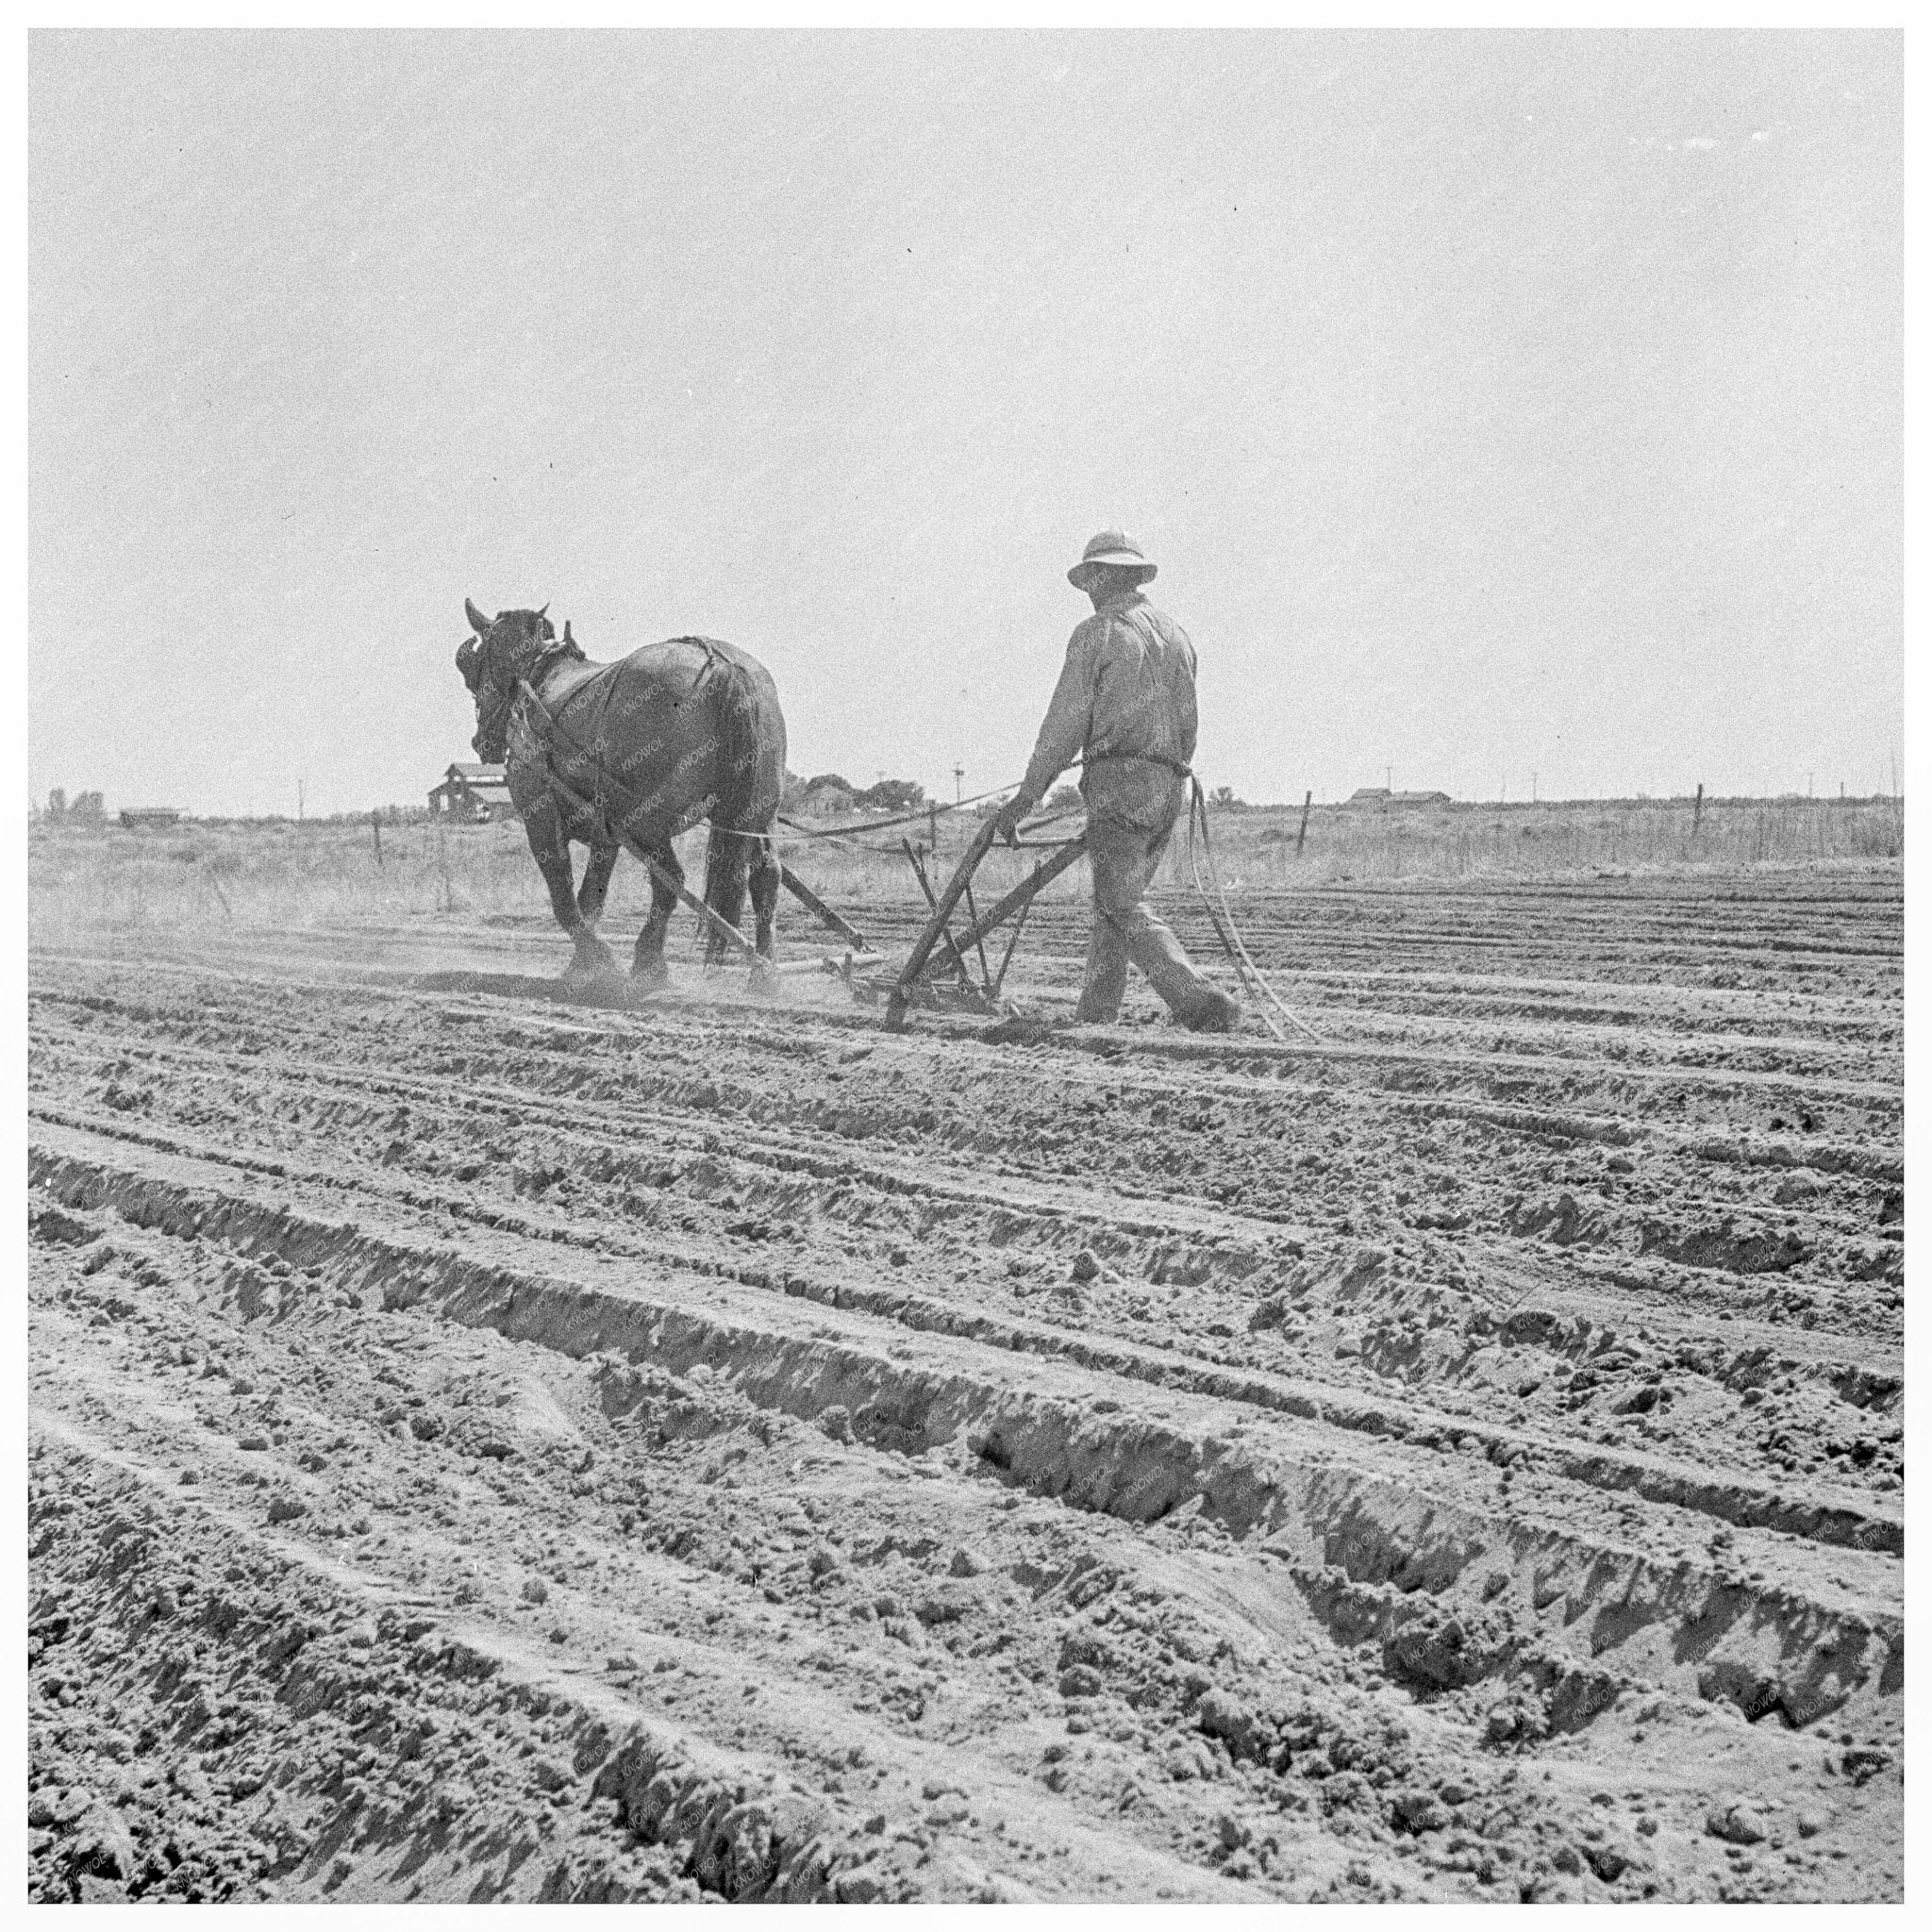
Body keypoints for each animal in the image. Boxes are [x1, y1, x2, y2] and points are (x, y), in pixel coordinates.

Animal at [458, 594, 784, 989]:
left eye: (474, 664)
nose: (482, 742)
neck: (535, 683)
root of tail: (723, 665)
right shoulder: (606, 832)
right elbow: (591, 898)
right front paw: (583, 966)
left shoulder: (540, 816)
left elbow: (564, 898)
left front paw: (597, 959)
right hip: (754, 814)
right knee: (765, 877)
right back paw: (763, 974)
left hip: (647, 820)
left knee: (670, 880)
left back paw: (649, 963)